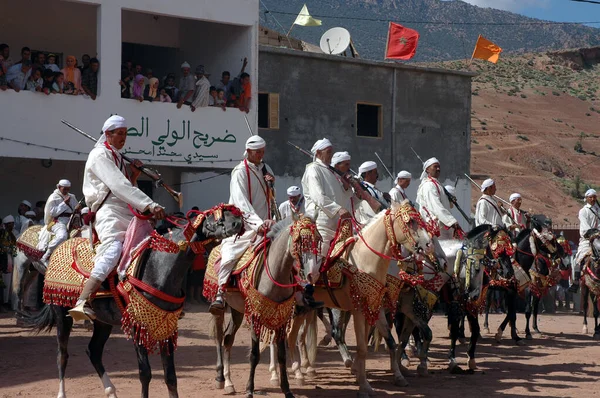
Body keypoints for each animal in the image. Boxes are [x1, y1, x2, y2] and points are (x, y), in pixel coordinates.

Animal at [28, 205, 244, 398]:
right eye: (213, 215)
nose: (238, 222)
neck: (159, 269)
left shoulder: (167, 326)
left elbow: (171, 377)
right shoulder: (137, 326)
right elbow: (145, 373)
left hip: (103, 321)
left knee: (94, 351)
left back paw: (111, 392)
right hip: (62, 314)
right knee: (62, 356)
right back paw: (62, 393)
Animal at [207, 218, 322, 398]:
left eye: (317, 240)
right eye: (299, 241)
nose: (313, 274)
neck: (275, 274)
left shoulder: (281, 316)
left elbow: (282, 355)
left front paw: (287, 389)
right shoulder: (256, 316)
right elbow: (254, 355)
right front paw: (249, 390)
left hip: (237, 310)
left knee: (228, 338)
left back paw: (229, 383)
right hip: (219, 307)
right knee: (219, 336)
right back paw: (220, 378)